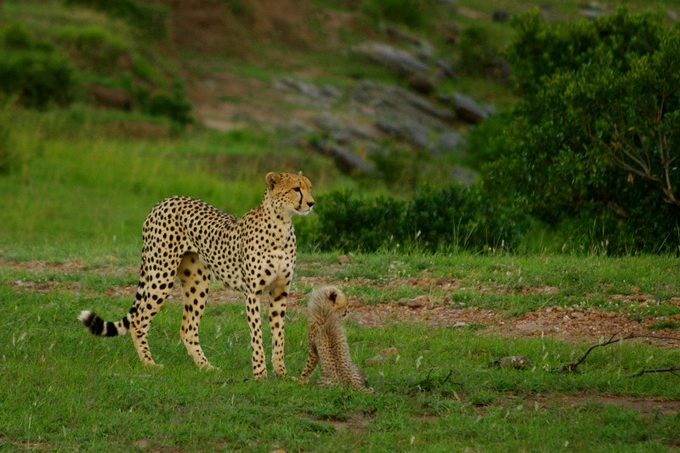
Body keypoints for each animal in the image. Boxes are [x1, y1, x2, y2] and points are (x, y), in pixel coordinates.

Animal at [79, 170, 314, 378]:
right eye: (296, 189)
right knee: (138, 320)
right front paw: (260, 374)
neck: (281, 224)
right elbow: (257, 335)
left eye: (310, 187)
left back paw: (207, 367)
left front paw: (282, 374)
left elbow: (279, 335)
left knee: (187, 329)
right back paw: (149, 363)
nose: (311, 203)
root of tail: (165, 200)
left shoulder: (280, 292)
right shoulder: (252, 293)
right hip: (161, 274)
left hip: (197, 281)